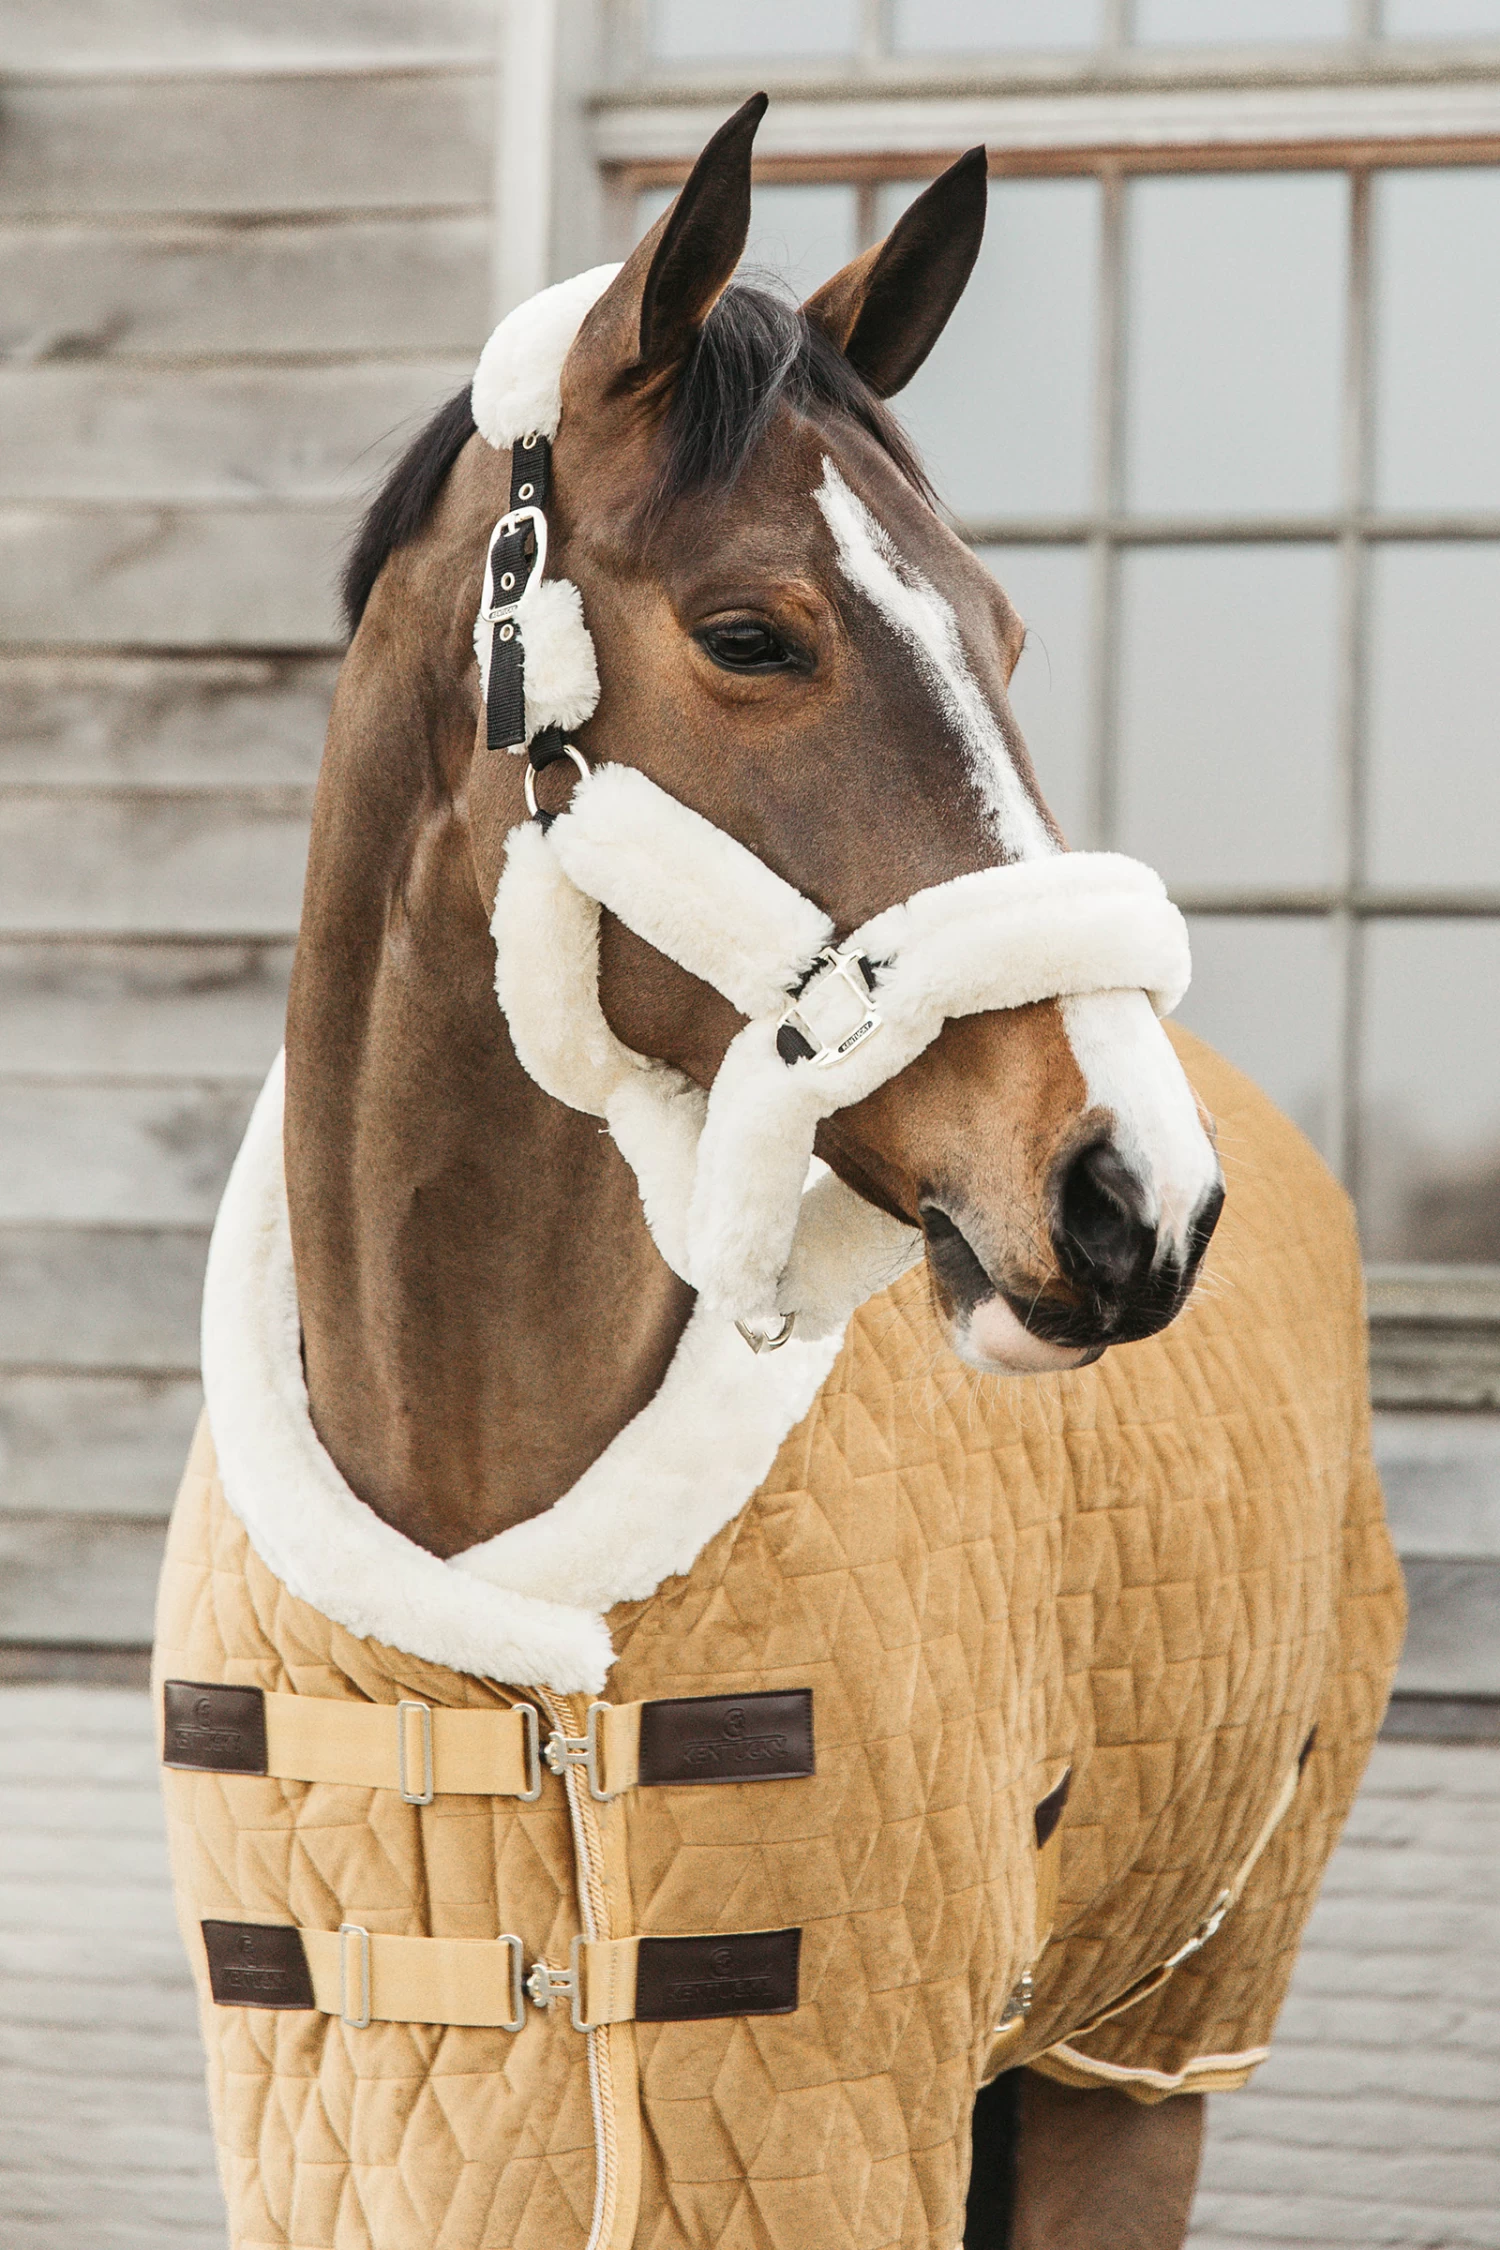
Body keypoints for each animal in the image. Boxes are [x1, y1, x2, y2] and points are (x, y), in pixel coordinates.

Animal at [153, 95, 1404, 2250]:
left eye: (1004, 629)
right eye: (753, 635)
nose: (1135, 1197)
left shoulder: (833, 2129)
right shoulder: (355, 2146)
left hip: (1137, 2058)